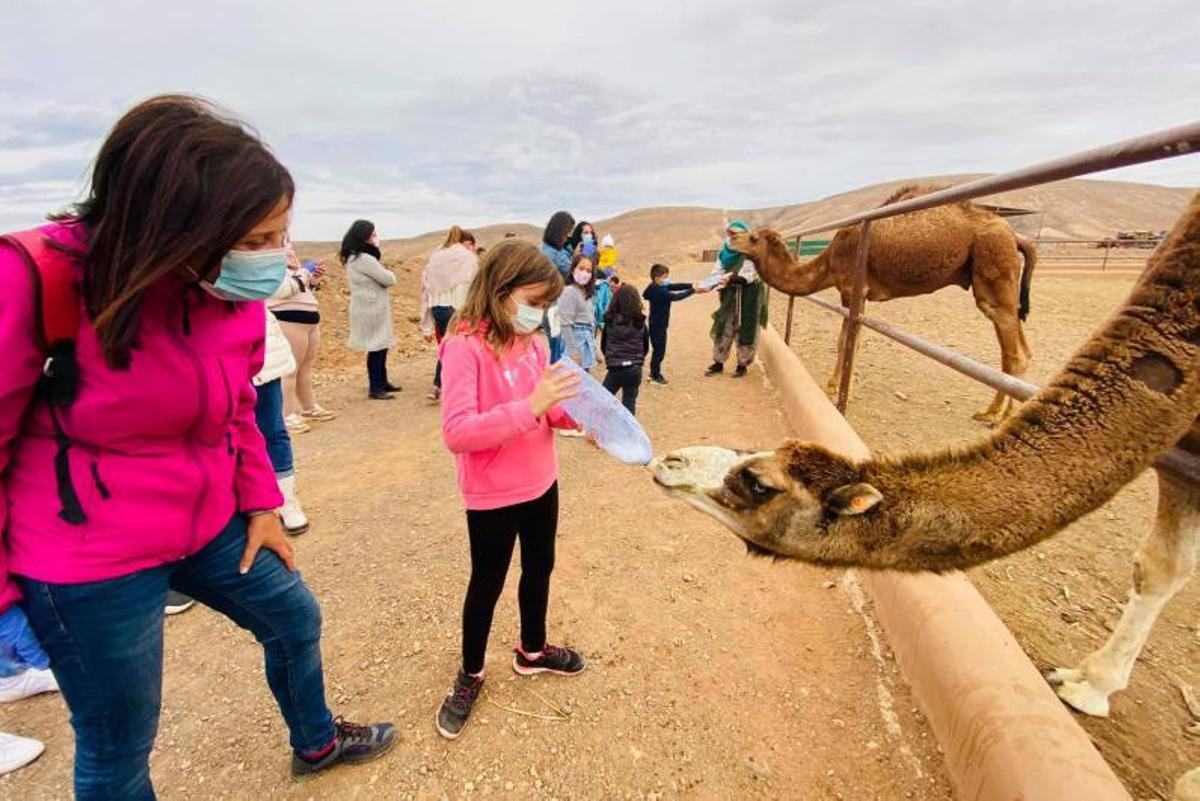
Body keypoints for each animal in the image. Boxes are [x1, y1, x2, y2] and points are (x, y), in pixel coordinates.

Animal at [734, 187, 1036, 422]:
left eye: (753, 238)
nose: (731, 236)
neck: (829, 261)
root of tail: (1015, 235)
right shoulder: (857, 295)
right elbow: (850, 340)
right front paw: (838, 385)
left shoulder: (854, 290)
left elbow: (845, 341)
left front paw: (834, 388)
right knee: (1019, 348)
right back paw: (1006, 412)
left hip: (993, 260)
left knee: (1013, 348)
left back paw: (993, 414)